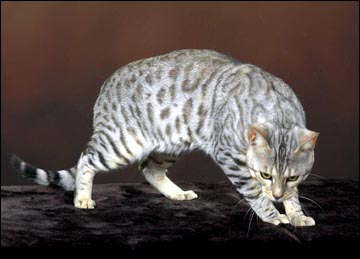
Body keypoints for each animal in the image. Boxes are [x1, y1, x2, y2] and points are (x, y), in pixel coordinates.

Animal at [8, 49, 320, 226]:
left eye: (292, 177)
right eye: (265, 174)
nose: (276, 194)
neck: (277, 110)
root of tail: (105, 86)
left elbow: (294, 196)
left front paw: (295, 213)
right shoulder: (231, 158)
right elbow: (254, 192)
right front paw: (273, 215)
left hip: (170, 144)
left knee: (150, 170)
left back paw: (177, 193)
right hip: (121, 143)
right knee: (86, 159)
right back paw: (82, 198)